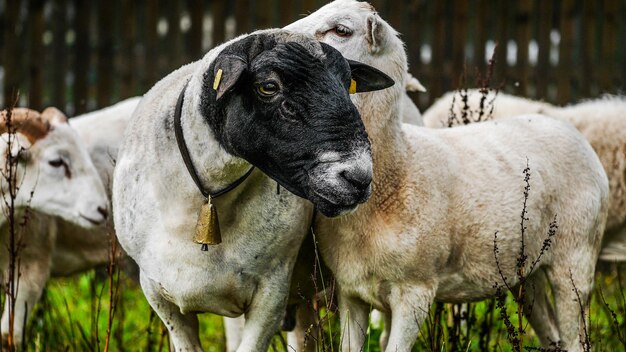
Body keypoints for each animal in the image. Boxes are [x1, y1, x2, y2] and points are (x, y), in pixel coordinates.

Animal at [112, 30, 394, 352]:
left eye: (348, 84)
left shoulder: (272, 291)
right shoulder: (159, 295)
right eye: (268, 86)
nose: (358, 177)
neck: (207, 195)